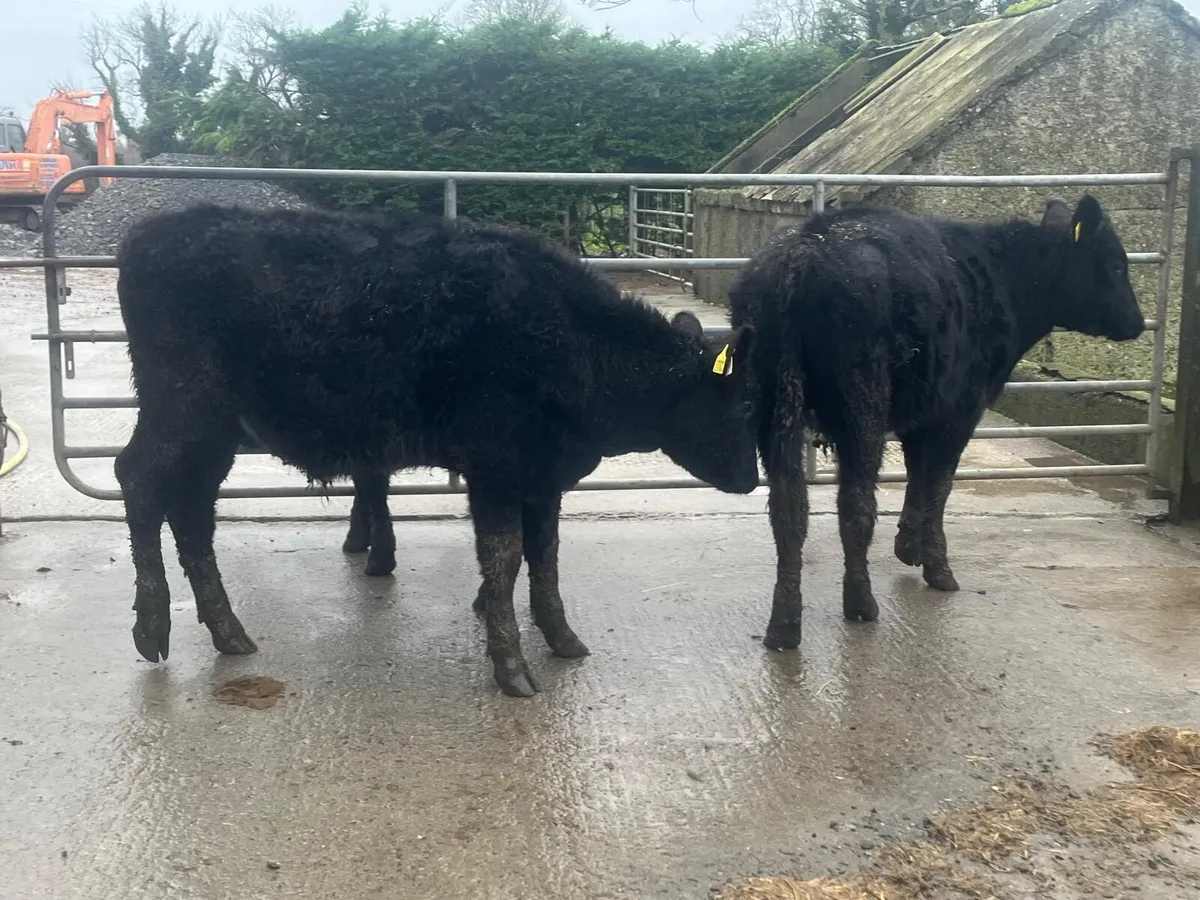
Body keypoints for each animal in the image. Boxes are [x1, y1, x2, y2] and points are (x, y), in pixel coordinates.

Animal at [114, 204, 760, 697]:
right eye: (739, 405)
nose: (750, 479)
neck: (568, 343)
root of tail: (154, 230)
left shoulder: (542, 475)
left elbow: (545, 555)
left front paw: (563, 640)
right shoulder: (495, 465)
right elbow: (505, 557)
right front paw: (512, 668)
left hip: (215, 428)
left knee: (191, 508)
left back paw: (228, 632)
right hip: (183, 405)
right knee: (139, 479)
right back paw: (152, 627)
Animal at [728, 194, 1144, 650]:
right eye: (1116, 264)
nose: (1138, 323)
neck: (1005, 278)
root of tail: (801, 252)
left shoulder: (924, 410)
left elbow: (918, 475)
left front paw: (908, 546)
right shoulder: (961, 408)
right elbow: (940, 483)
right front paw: (937, 566)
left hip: (772, 398)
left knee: (787, 507)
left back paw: (784, 625)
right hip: (862, 402)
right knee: (855, 503)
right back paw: (861, 604)